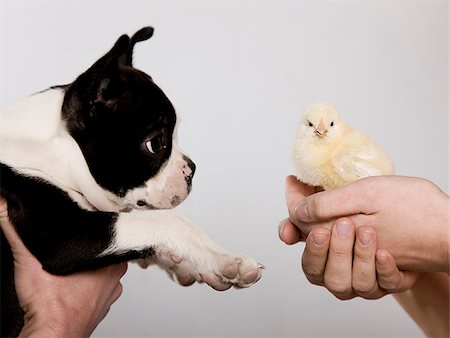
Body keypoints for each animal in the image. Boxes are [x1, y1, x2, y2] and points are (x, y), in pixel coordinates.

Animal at [0, 27, 262, 336]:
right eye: (156, 144)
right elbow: (168, 221)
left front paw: (192, 265)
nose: (192, 168)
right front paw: (221, 258)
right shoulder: (64, 234)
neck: (59, 149)